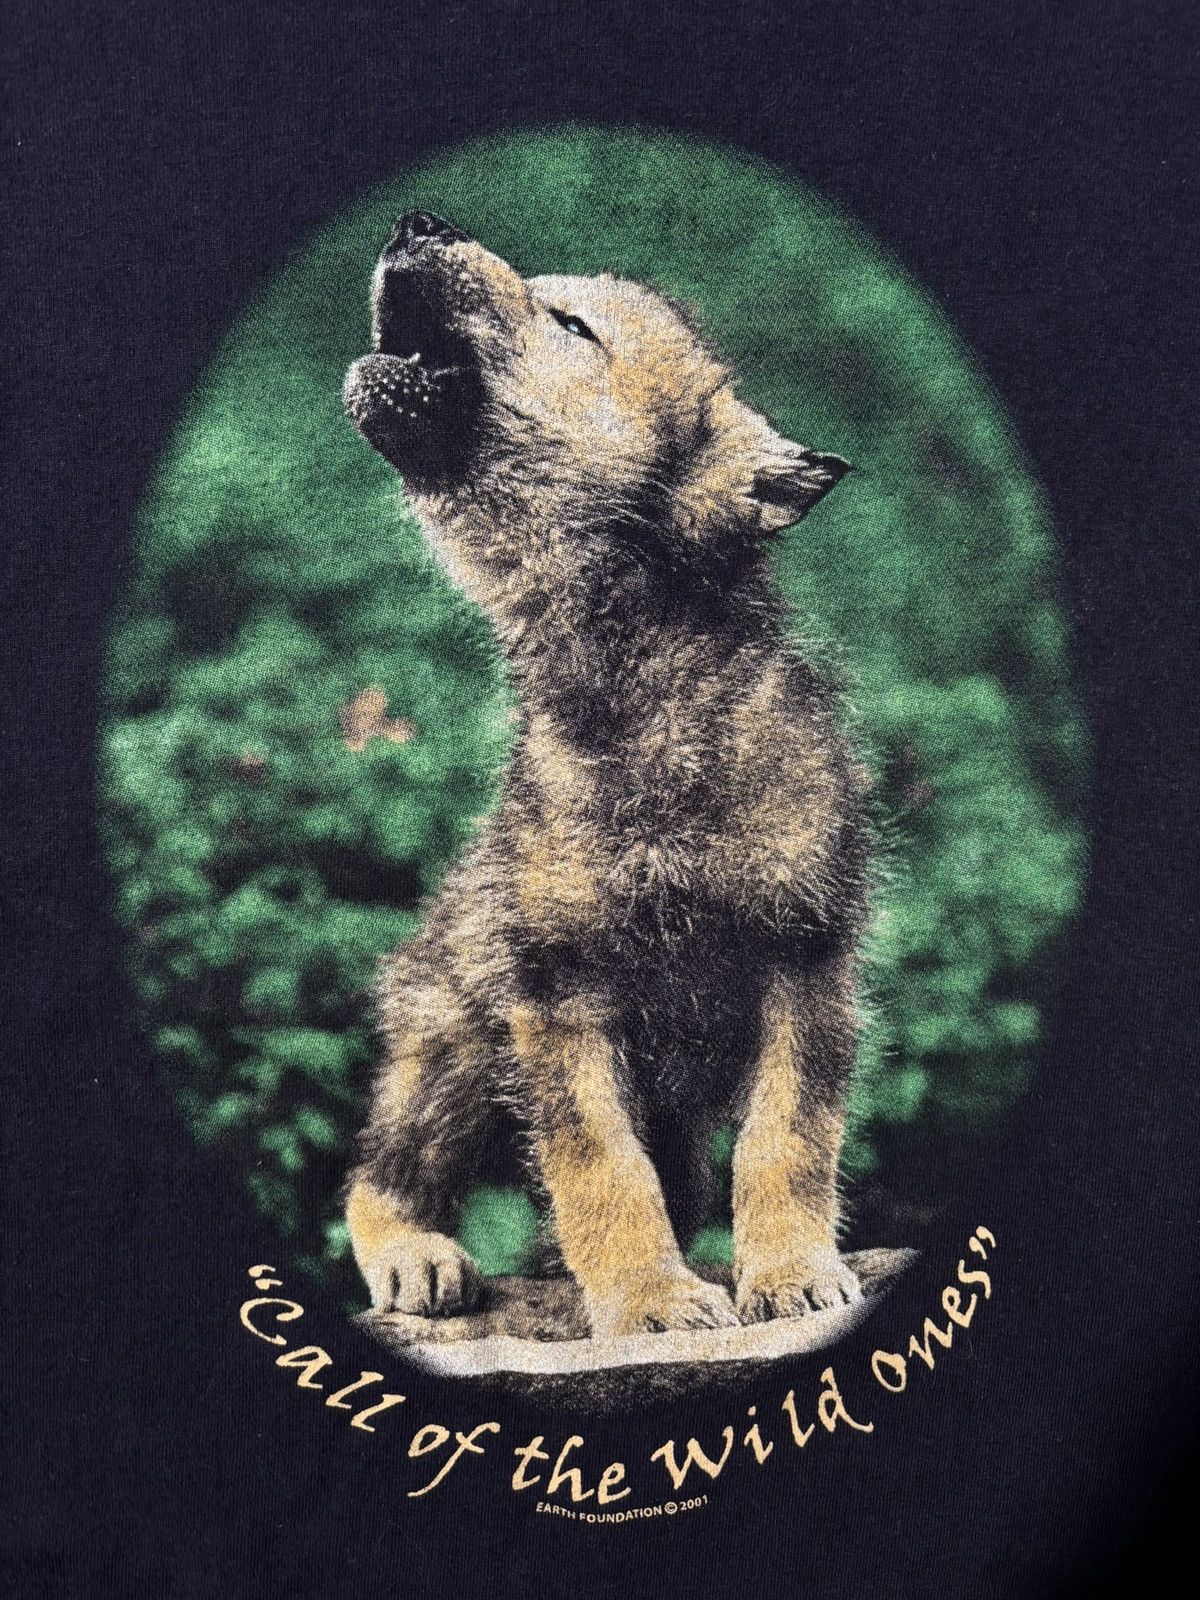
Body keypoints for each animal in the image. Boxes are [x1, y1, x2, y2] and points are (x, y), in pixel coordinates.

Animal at [342, 210, 868, 1337]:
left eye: (570, 323)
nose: (416, 221)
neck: (637, 698)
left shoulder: (806, 961)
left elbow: (787, 1144)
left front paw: (791, 1273)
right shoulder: (557, 995)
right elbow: (601, 1170)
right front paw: (651, 1300)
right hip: (457, 1039)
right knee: (382, 1168)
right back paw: (415, 1258)